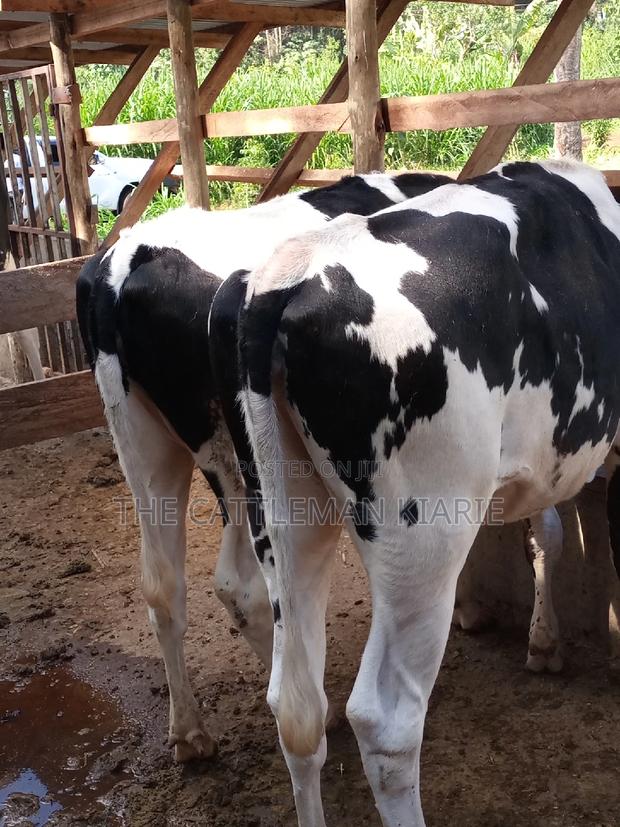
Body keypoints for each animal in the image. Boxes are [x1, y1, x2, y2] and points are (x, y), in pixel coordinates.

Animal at [75, 171, 453, 761]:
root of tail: (122, 264)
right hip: (235, 454)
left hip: (143, 440)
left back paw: (190, 732)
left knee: (164, 584)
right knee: (242, 585)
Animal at [231, 160, 620, 826]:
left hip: (285, 513)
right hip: (425, 530)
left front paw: (543, 641)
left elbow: (548, 532)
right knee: (386, 722)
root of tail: (291, 274)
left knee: (297, 707)